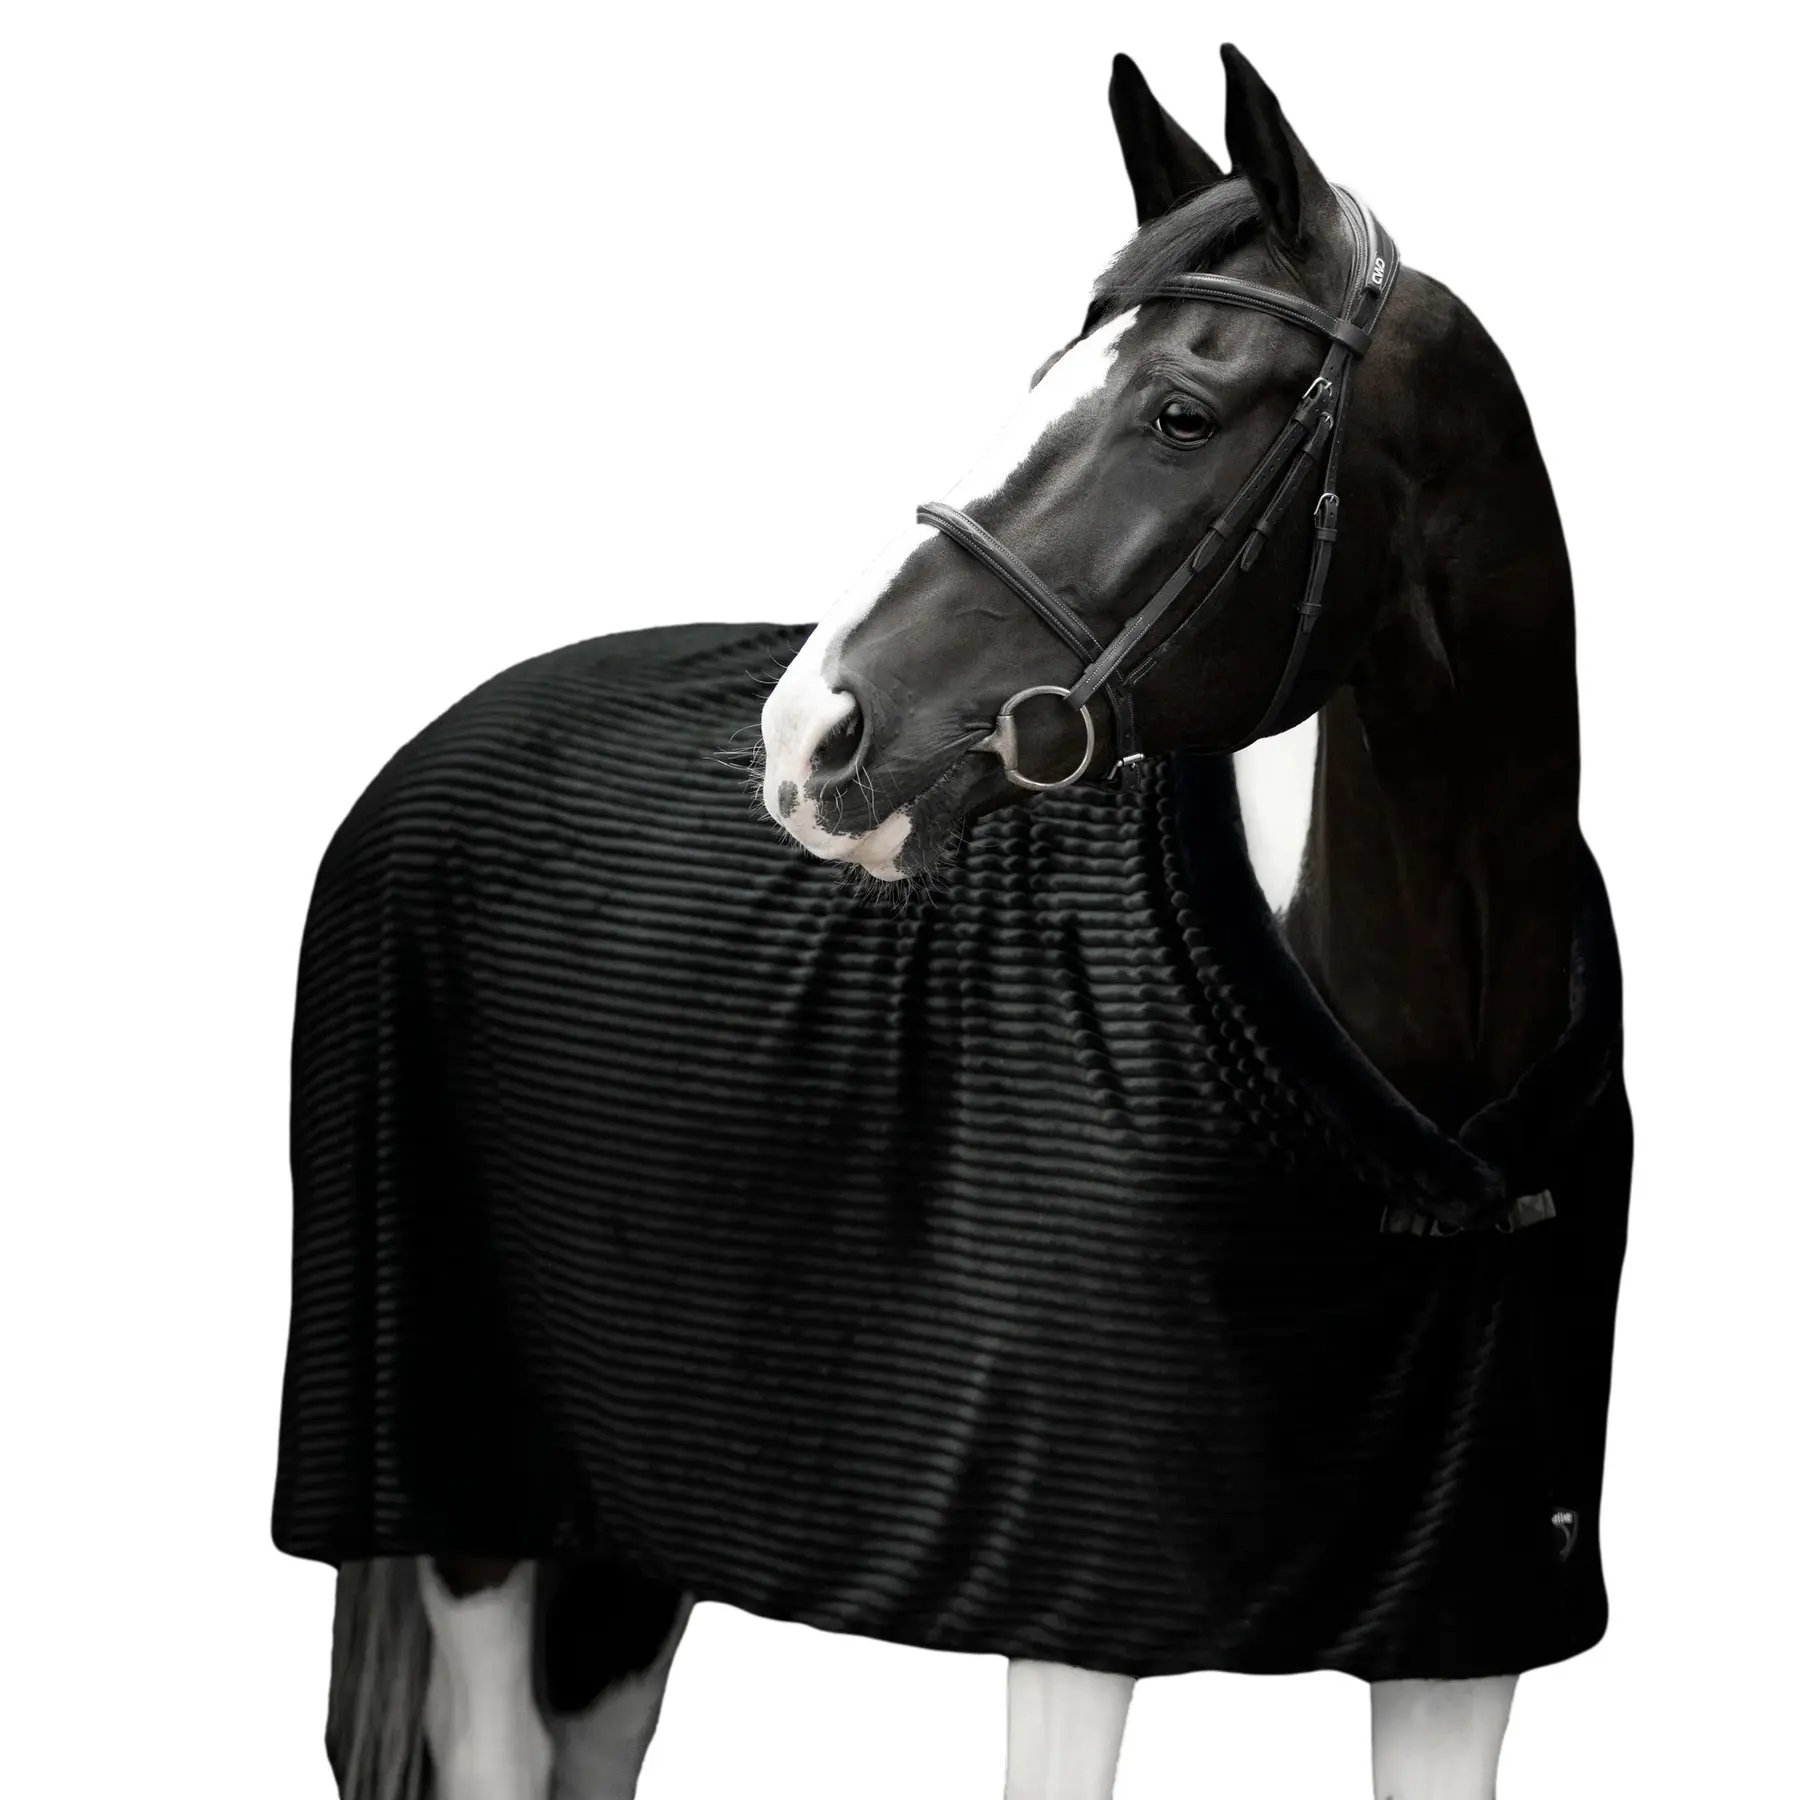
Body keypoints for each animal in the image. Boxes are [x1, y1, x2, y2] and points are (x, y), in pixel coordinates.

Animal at [279, 43, 1629, 1800]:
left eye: (1181, 413)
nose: (811, 735)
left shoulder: (1462, 1633)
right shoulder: (1078, 1612)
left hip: (630, 1541)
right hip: (478, 1515)